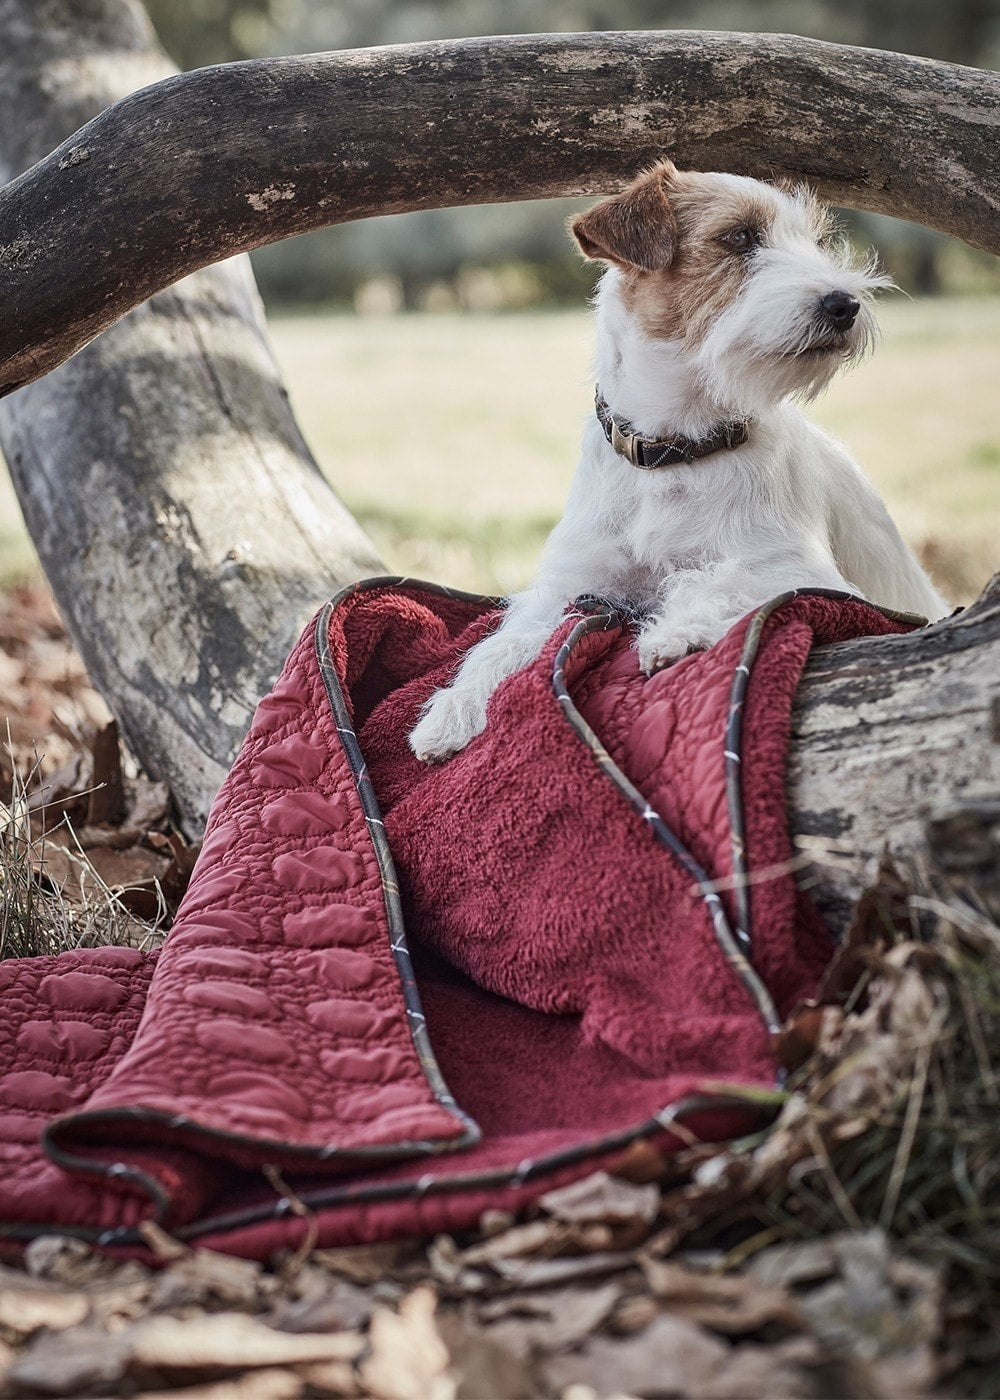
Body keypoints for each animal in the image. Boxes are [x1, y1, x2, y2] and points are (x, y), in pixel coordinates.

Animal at [408, 163, 946, 767]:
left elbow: (719, 578)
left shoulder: (804, 573)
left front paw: (672, 632)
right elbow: (505, 641)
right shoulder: (569, 585)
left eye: (817, 242)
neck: (673, 451)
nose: (844, 304)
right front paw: (451, 712)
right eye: (739, 237)